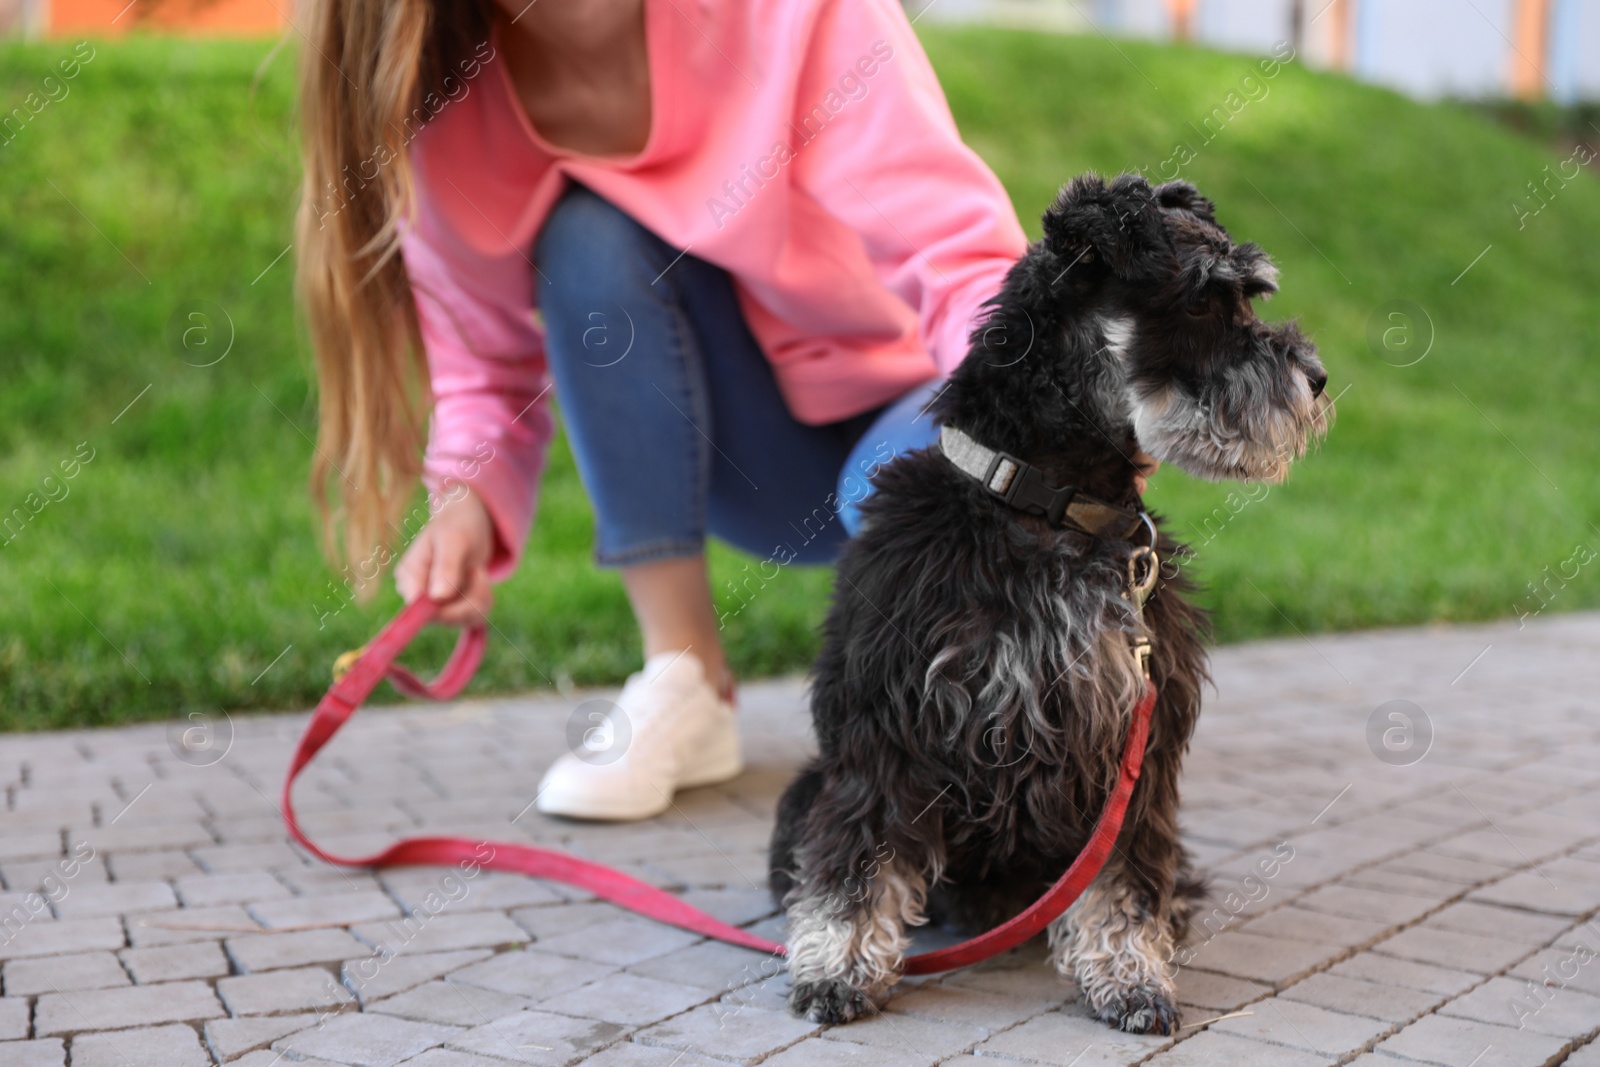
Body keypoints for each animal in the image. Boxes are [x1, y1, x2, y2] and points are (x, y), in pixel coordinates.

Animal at [768, 173, 1331, 1036]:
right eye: (1206, 300)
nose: (1317, 378)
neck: (1049, 504)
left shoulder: (1136, 746)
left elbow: (1125, 881)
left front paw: (1131, 974)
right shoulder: (886, 732)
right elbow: (858, 854)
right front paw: (838, 964)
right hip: (804, 794)